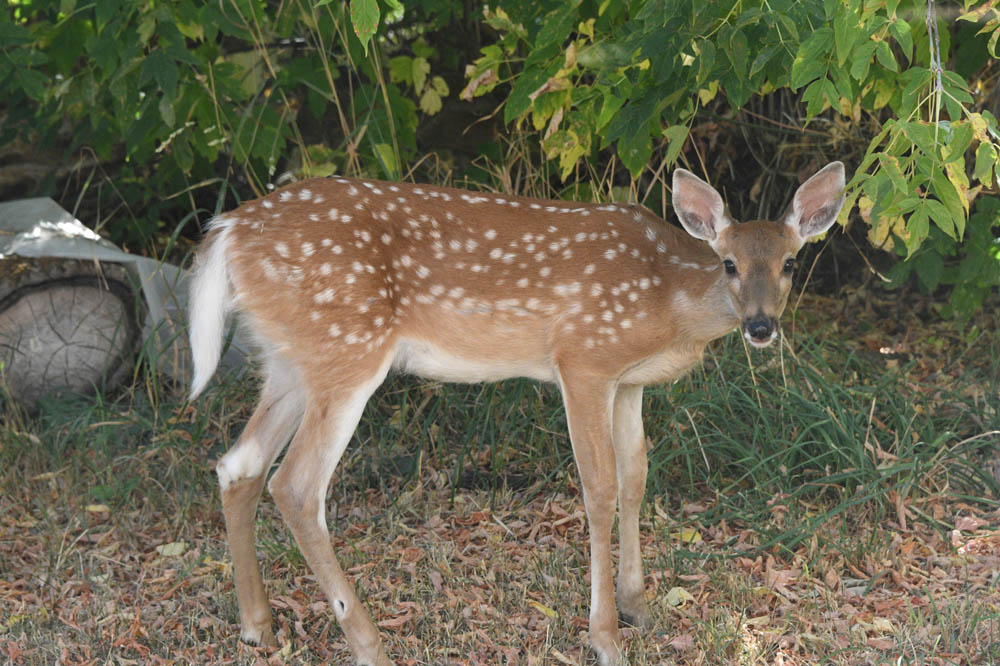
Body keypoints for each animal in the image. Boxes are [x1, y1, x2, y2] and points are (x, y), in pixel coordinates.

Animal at [187, 162, 846, 665]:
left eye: (790, 263)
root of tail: (227, 230)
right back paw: (368, 642)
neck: (667, 300)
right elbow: (599, 487)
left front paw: (639, 606)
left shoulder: (628, 383)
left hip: (290, 360)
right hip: (347, 345)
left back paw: (257, 626)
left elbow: (636, 476)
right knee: (297, 485)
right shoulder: (583, 358)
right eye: (729, 263)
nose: (760, 327)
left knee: (238, 465)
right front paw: (605, 637)